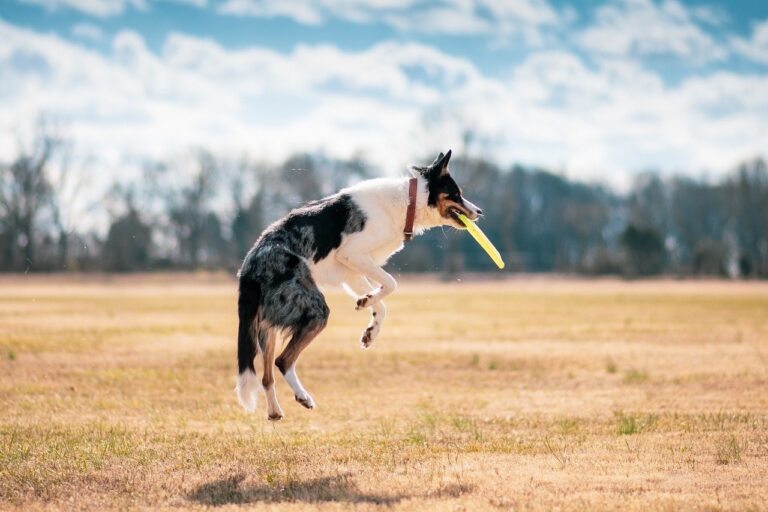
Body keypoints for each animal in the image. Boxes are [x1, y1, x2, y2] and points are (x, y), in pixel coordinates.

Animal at [237, 149, 484, 420]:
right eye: (456, 194)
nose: (480, 211)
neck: (407, 202)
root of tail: (251, 265)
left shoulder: (352, 270)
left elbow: (382, 304)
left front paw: (370, 326)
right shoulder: (352, 254)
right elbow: (391, 284)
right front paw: (368, 303)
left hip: (267, 326)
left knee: (266, 375)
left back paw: (274, 411)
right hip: (314, 310)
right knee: (282, 361)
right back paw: (303, 397)